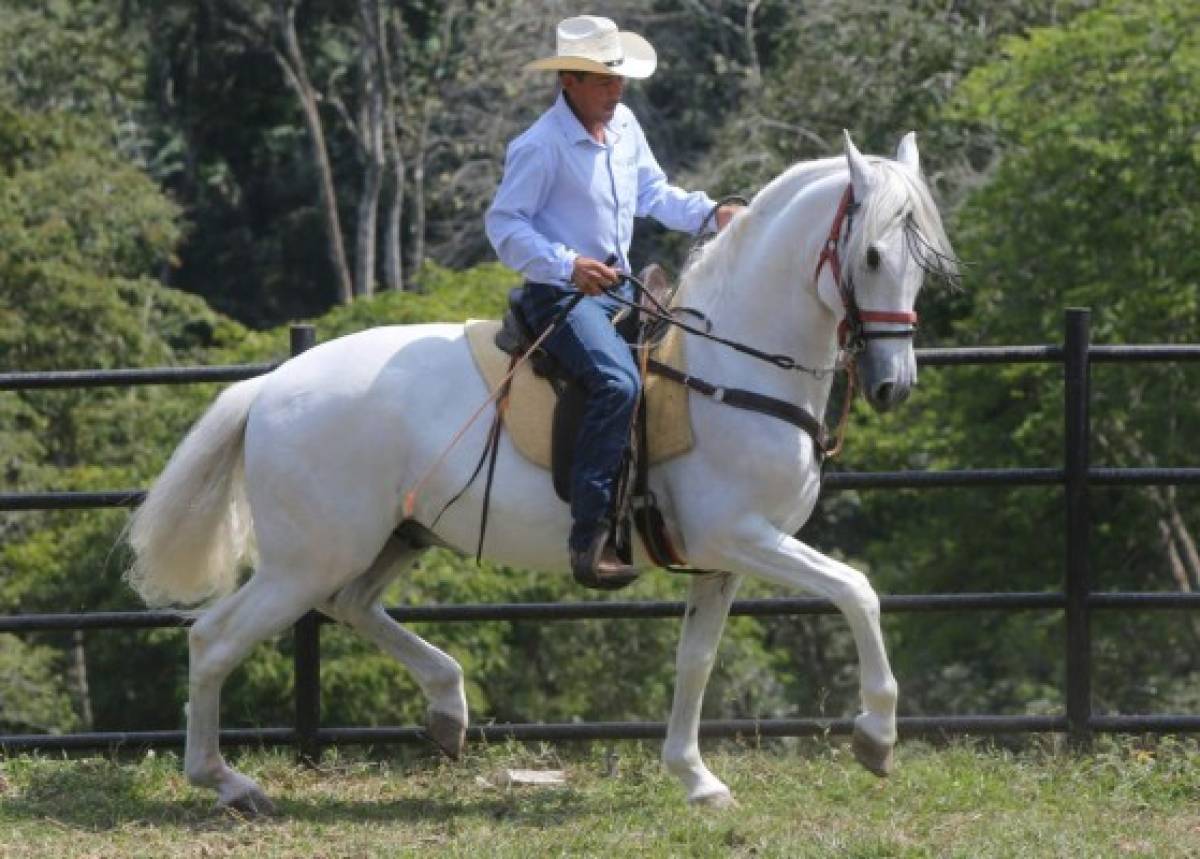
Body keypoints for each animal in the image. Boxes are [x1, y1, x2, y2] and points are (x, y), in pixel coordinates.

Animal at [126, 128, 955, 811]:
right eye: (872, 255)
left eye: (924, 263)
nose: (893, 384)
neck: (729, 368)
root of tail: (268, 386)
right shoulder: (743, 536)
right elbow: (857, 590)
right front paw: (876, 736)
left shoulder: (720, 560)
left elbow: (695, 660)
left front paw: (695, 776)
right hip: (307, 559)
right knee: (216, 639)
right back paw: (228, 781)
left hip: (393, 536)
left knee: (351, 605)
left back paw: (447, 708)